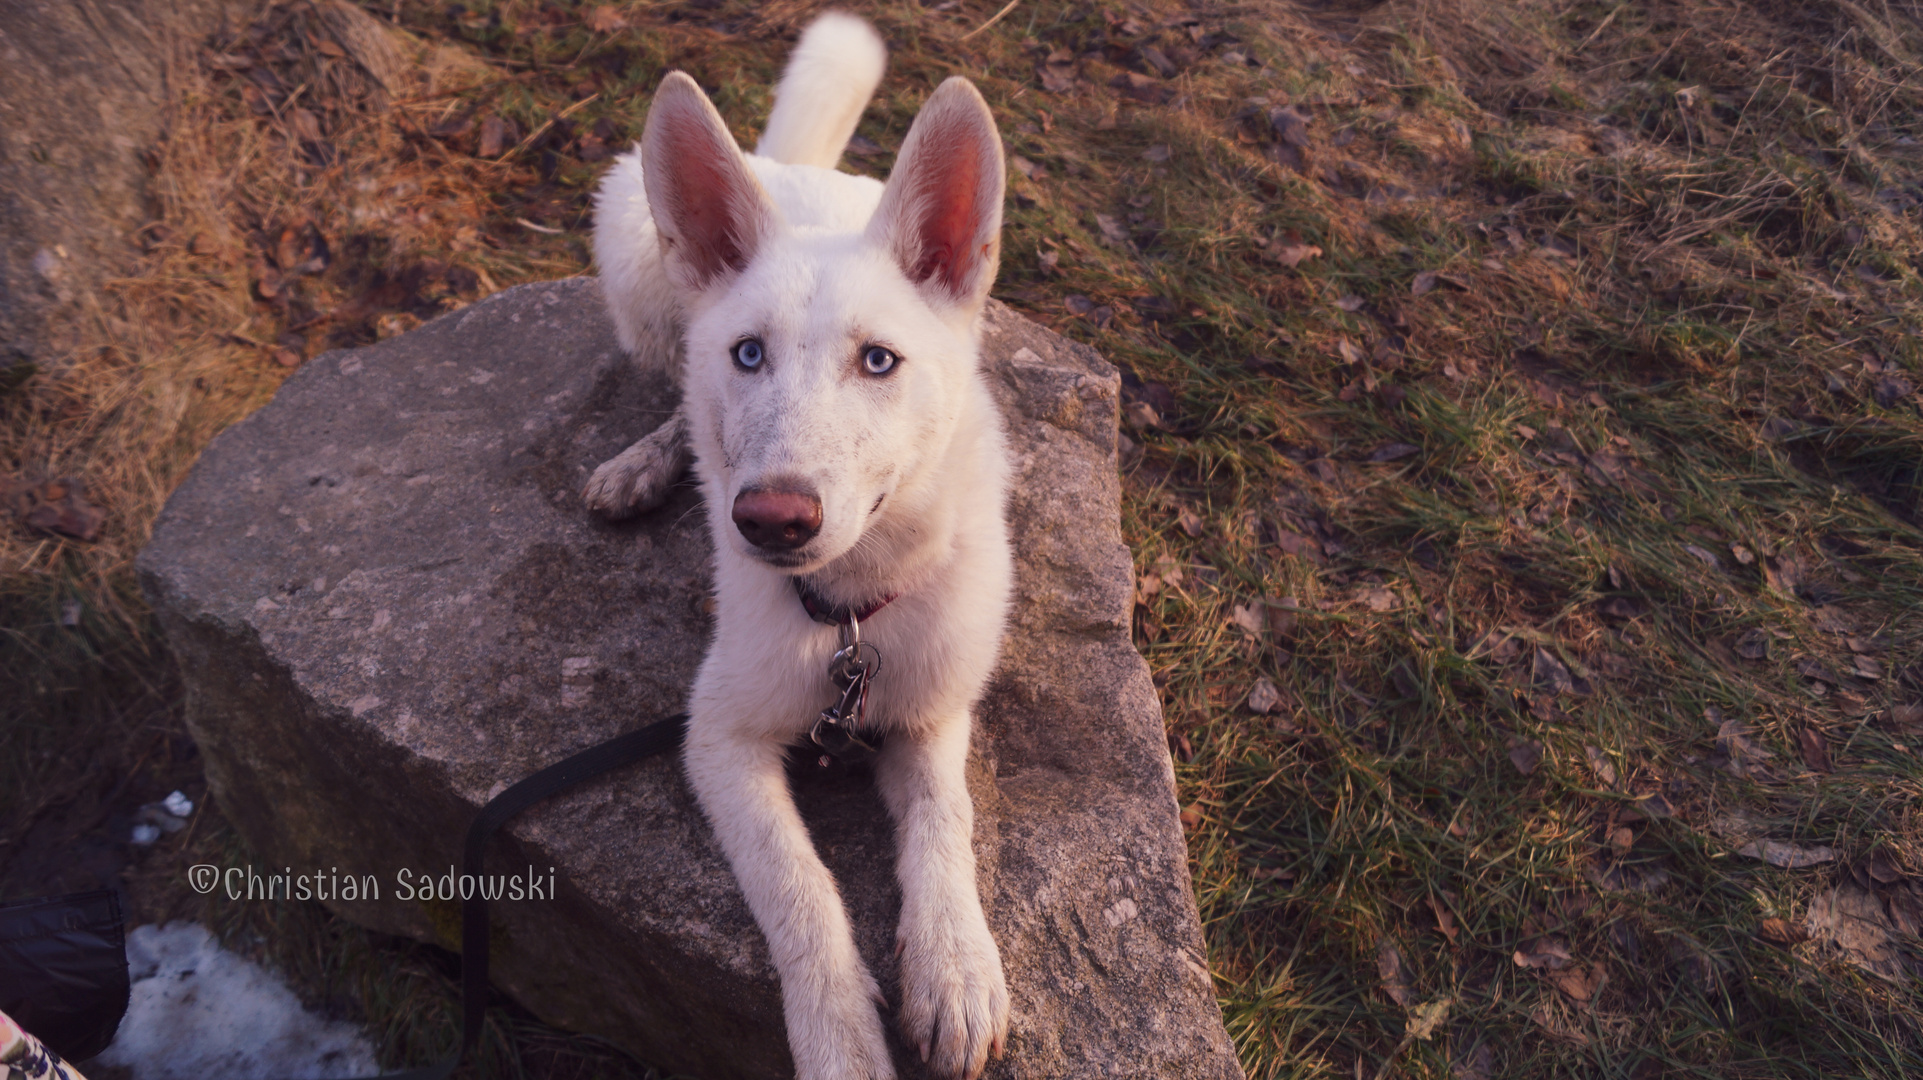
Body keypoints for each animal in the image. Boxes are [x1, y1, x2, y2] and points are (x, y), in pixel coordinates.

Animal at [584, 10, 1015, 1076]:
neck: (850, 617)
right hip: (635, 259)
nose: (769, 517)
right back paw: (646, 465)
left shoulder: (934, 712)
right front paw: (841, 1042)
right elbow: (799, 889)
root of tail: (788, 168)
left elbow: (946, 819)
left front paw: (955, 966)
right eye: (749, 354)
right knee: (675, 389)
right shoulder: (716, 738)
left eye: (879, 362)